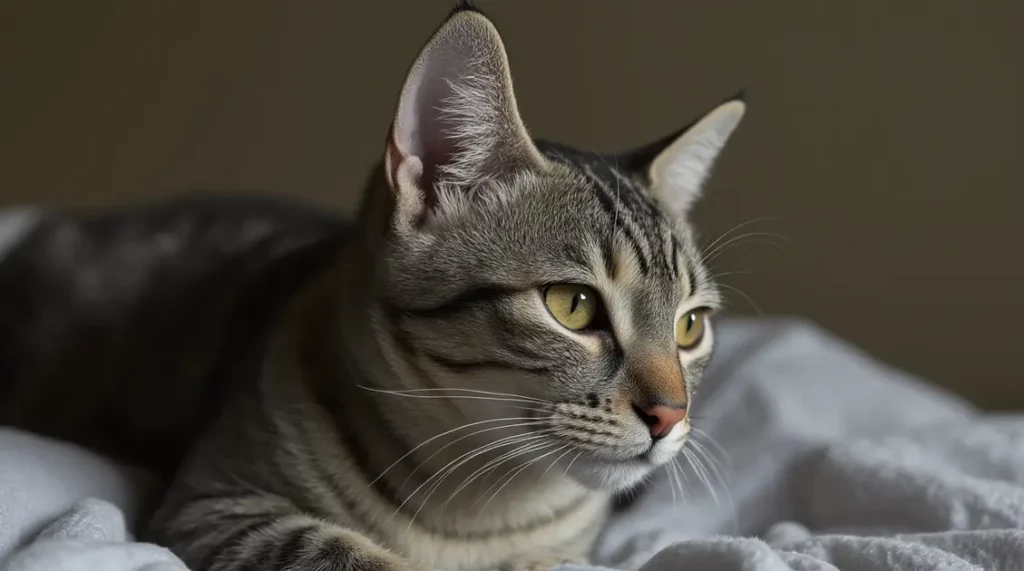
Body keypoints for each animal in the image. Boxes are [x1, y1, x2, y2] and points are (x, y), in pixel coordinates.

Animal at [4, 3, 749, 571]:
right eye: (574, 305)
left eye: (689, 326)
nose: (672, 415)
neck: (480, 512)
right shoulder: (211, 503)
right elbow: (343, 551)